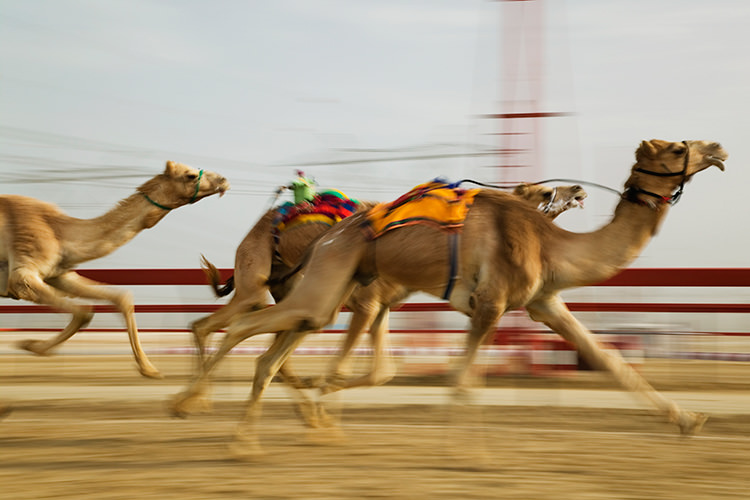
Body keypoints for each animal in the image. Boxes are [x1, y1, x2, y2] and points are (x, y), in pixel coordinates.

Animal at [0, 162, 229, 380]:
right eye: (190, 175)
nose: (224, 180)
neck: (59, 232)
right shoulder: (22, 275)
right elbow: (83, 311)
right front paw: (30, 344)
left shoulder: (58, 274)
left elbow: (119, 298)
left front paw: (149, 369)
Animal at [173, 140, 732, 454]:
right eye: (678, 148)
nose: (719, 148)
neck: (548, 243)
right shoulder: (486, 302)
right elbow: (457, 381)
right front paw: (468, 454)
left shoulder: (543, 302)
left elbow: (610, 361)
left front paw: (690, 419)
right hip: (306, 287)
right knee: (233, 326)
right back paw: (198, 408)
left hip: (320, 295)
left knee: (267, 347)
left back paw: (244, 432)